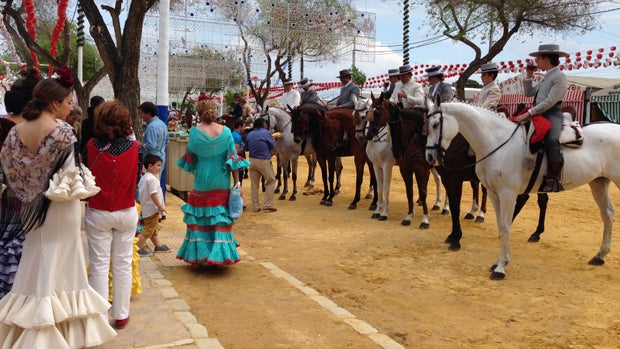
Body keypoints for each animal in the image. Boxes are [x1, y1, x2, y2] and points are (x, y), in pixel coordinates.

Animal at [426, 102, 620, 278]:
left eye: (435, 124)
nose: (429, 156)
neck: (497, 142)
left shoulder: (507, 194)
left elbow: (505, 227)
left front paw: (500, 268)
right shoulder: (493, 193)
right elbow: (501, 225)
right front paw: (498, 262)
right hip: (598, 182)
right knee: (608, 213)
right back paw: (600, 255)